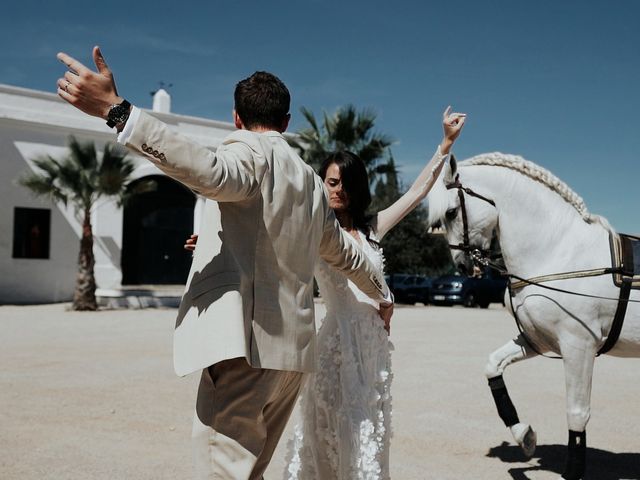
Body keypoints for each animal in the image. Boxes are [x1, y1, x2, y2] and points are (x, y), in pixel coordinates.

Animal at [424, 154, 640, 480]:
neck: (560, 252)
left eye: (450, 212)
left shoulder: (579, 347)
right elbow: (493, 366)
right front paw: (523, 434)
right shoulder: (537, 340)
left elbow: (576, 413)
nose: (463, 266)